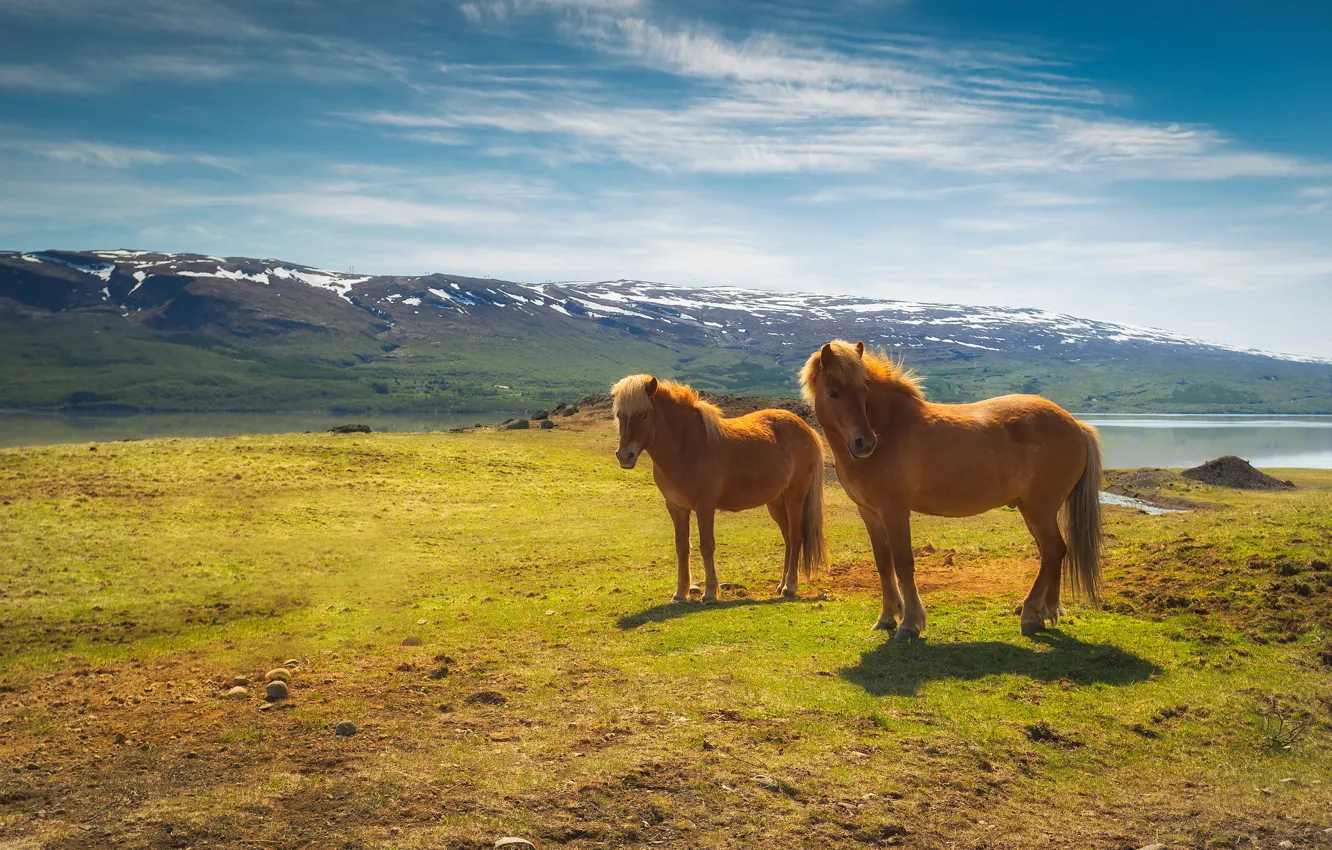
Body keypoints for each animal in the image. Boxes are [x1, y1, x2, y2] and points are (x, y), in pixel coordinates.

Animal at [611, 374, 829, 603]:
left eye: (644, 415)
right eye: (619, 415)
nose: (625, 456)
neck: (686, 445)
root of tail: (807, 429)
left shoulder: (705, 506)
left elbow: (707, 546)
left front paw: (709, 592)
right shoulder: (677, 507)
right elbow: (682, 548)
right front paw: (680, 593)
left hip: (795, 498)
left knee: (795, 537)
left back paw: (790, 587)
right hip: (776, 503)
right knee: (787, 538)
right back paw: (781, 585)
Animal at [800, 340, 1102, 638]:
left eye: (863, 392)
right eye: (834, 393)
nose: (865, 443)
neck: (890, 426)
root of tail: (1076, 424)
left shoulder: (894, 510)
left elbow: (903, 562)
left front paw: (910, 623)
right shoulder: (869, 512)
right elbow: (884, 563)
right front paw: (886, 617)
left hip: (1039, 509)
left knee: (1052, 552)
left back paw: (1029, 614)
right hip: (1034, 511)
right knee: (1053, 553)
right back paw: (1047, 611)